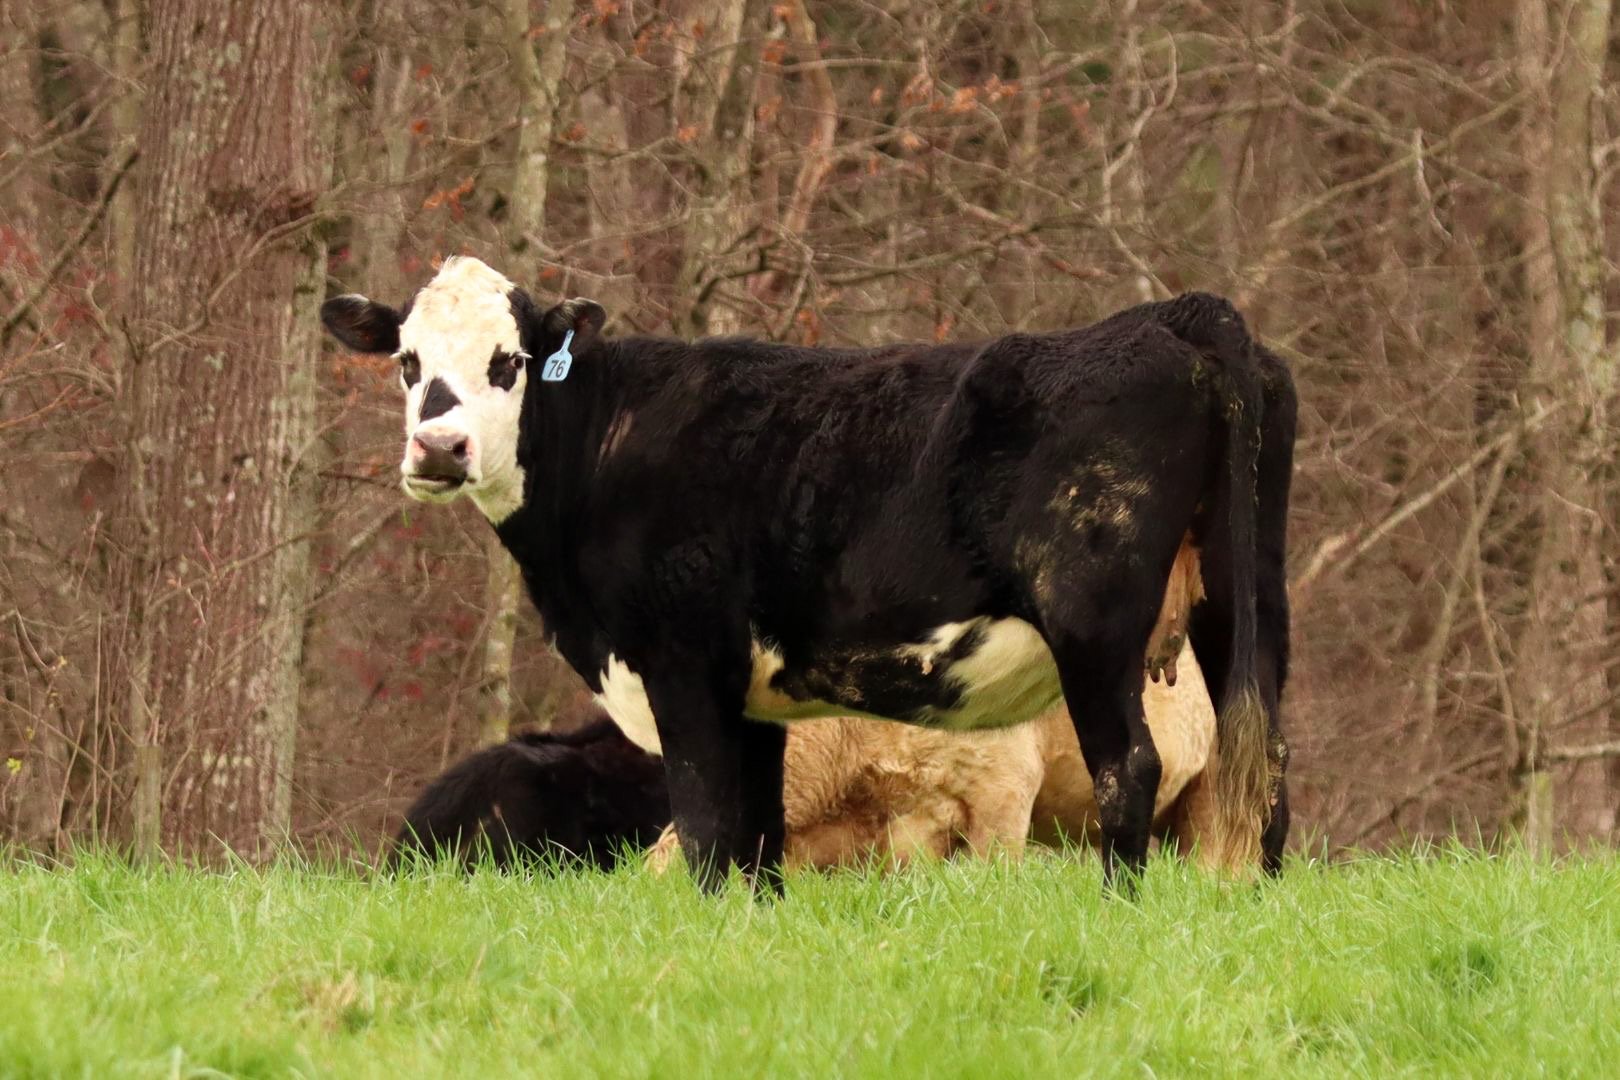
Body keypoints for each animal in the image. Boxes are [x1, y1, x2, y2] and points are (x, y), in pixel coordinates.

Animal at [321, 255, 1295, 892]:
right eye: (407, 361)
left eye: (510, 362)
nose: (438, 448)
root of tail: (1170, 316)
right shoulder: (751, 698)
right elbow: (755, 837)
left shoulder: (682, 665)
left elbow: (708, 827)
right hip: (1245, 603)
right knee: (1269, 770)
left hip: (1093, 621)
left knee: (1127, 766)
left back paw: (1116, 908)